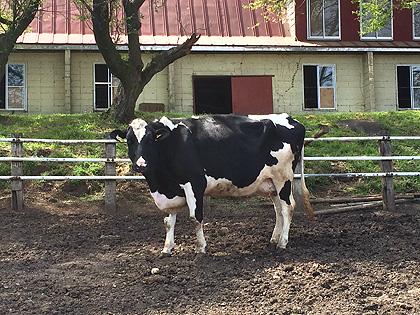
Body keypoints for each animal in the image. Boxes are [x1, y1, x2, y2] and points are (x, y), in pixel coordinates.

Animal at [110, 115, 314, 256]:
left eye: (150, 140)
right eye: (129, 140)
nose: (141, 164)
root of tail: (291, 119)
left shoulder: (194, 183)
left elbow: (195, 218)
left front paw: (201, 248)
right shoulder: (172, 189)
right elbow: (168, 221)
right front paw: (167, 248)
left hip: (283, 177)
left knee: (288, 208)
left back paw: (283, 242)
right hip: (271, 183)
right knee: (278, 209)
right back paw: (274, 238)